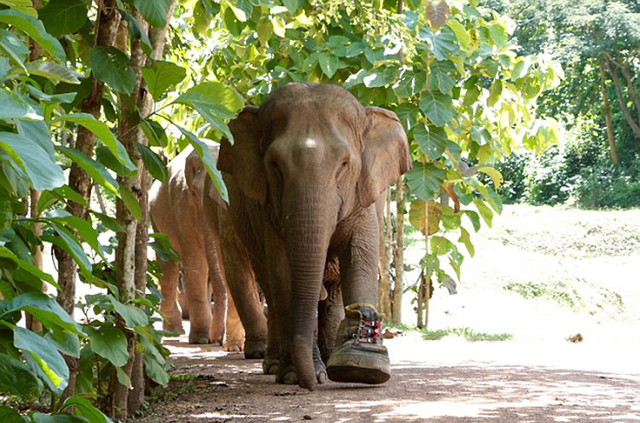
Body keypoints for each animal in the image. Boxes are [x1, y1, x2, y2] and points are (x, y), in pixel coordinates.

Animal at [149, 143, 266, 358]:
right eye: (195, 193)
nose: (216, 341)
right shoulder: (181, 200)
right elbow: (195, 260)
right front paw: (200, 339)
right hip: (155, 216)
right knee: (168, 264)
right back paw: (173, 331)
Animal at [218, 83, 412, 390]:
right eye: (274, 165)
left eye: (344, 163)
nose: (309, 386)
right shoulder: (265, 209)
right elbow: (283, 272)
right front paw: (293, 375)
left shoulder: (365, 197)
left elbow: (359, 257)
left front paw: (363, 367)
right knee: (270, 288)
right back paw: (277, 365)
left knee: (333, 291)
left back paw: (333, 357)